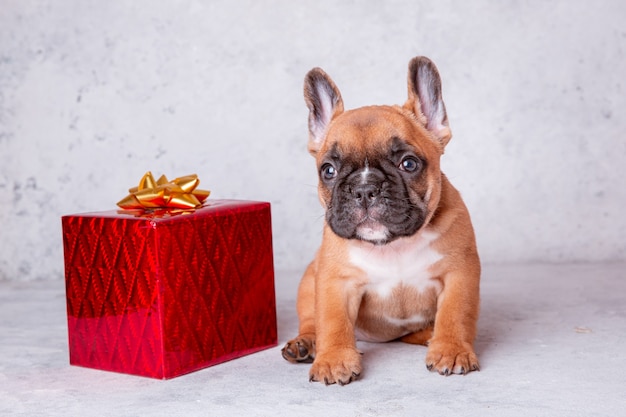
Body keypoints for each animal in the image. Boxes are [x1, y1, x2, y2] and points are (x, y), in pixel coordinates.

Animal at [280, 57, 480, 386]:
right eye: (328, 170)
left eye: (409, 164)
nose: (364, 188)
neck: (392, 246)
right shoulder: (336, 282)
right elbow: (332, 322)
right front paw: (334, 359)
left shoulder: (458, 274)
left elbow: (455, 314)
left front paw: (451, 349)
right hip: (309, 279)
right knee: (311, 321)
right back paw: (305, 344)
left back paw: (430, 336)